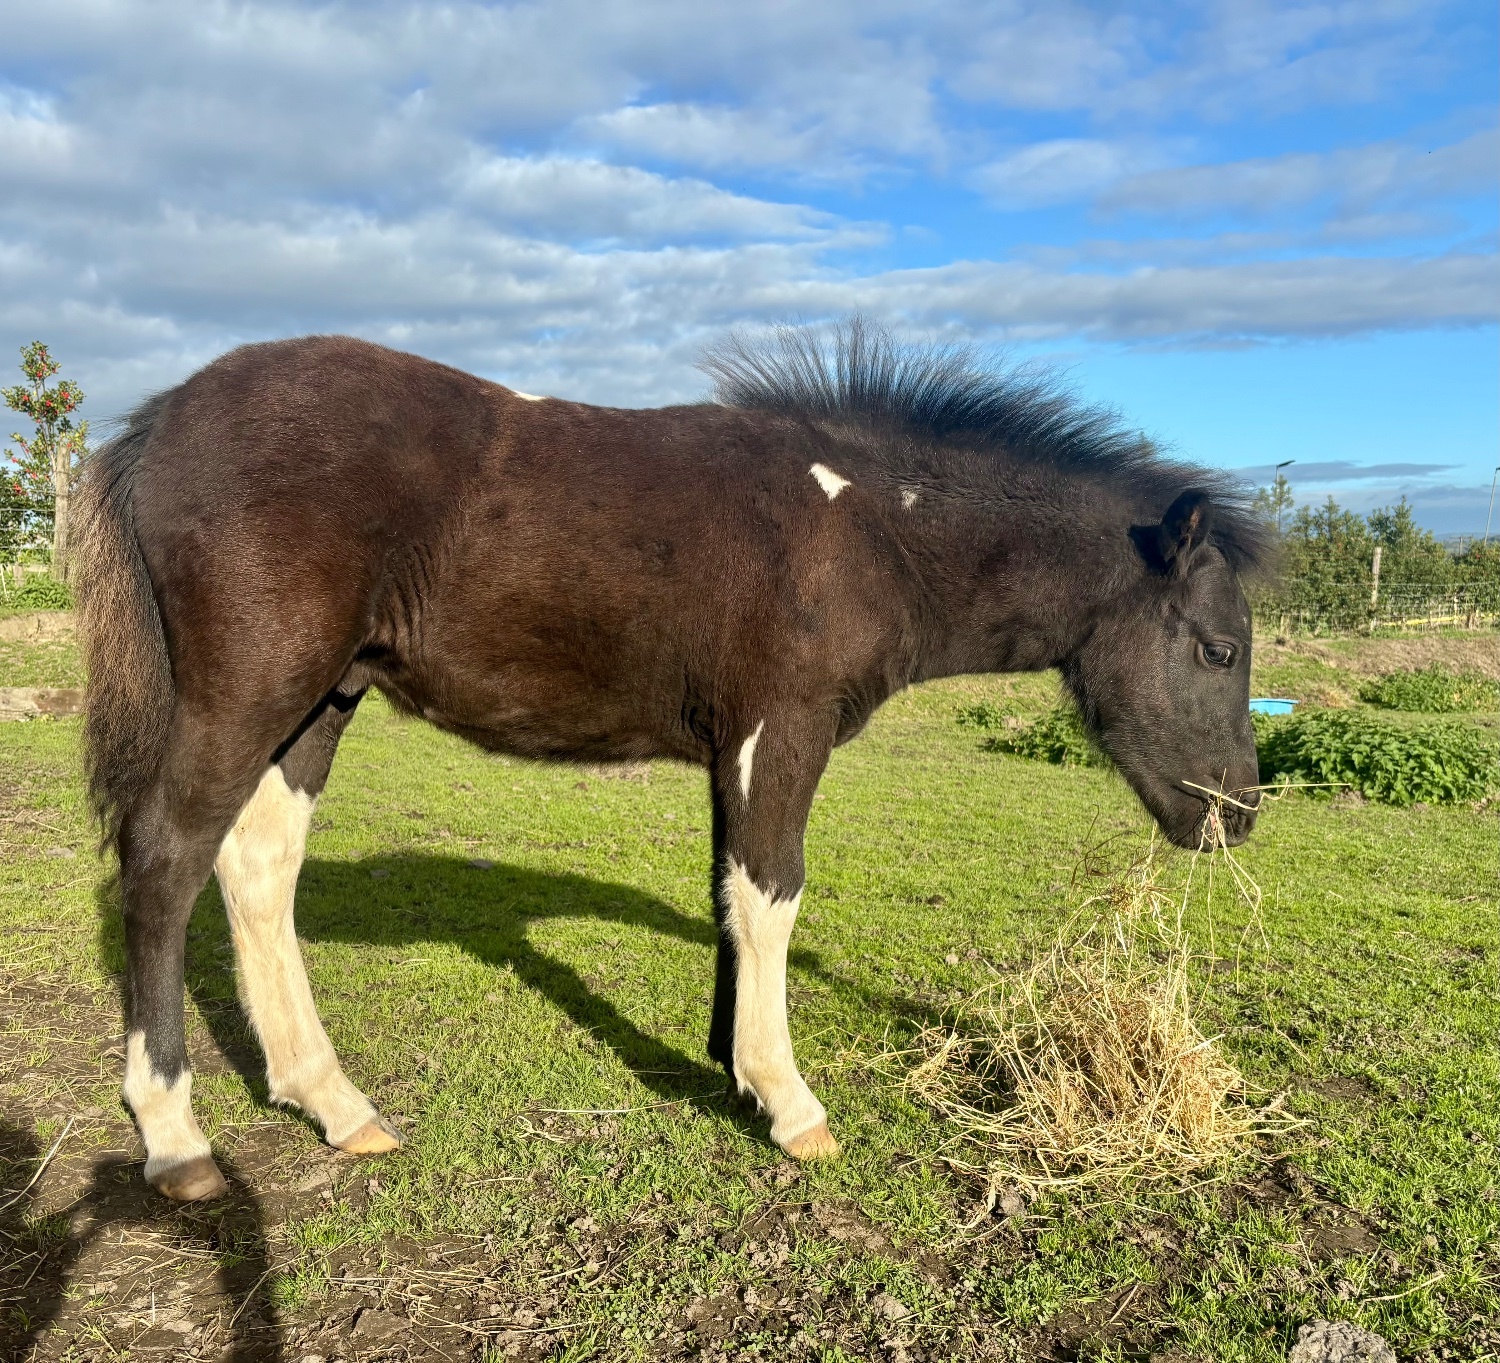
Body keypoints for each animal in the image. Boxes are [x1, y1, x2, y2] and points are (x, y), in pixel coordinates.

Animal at [74, 319, 1270, 1202]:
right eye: (1218, 648)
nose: (1238, 814)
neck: (867, 529)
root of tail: (161, 417)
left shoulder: (731, 744)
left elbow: (729, 892)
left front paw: (727, 1067)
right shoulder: (783, 728)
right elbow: (773, 891)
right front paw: (787, 1101)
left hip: (322, 699)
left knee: (257, 866)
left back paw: (330, 1100)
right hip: (250, 688)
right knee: (165, 860)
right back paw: (176, 1137)